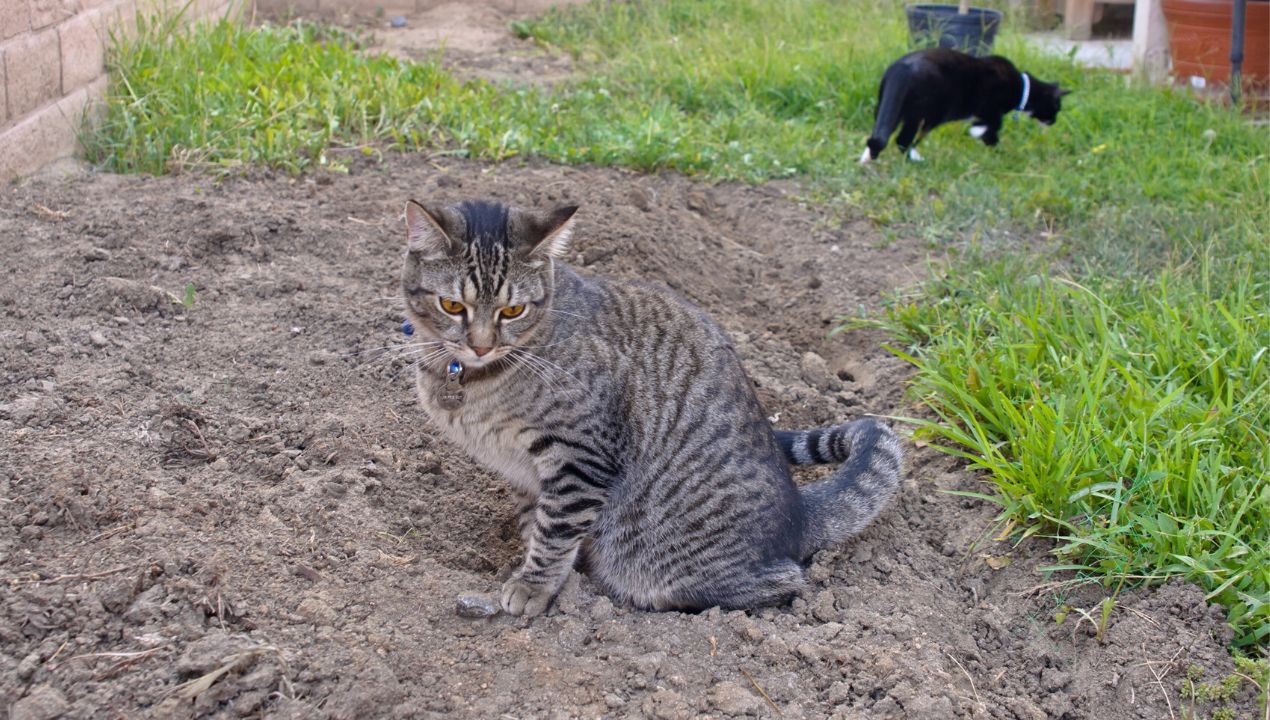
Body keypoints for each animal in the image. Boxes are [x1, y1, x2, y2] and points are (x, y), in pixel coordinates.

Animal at [398, 200, 904, 617]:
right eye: (452, 305)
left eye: (513, 311)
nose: (481, 345)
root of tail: (799, 513)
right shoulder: (525, 473)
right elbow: (535, 523)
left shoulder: (580, 455)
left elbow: (555, 530)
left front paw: (534, 585)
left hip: (667, 557)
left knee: (786, 581)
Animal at [863, 48, 1071, 163]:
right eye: (1057, 108)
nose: (1054, 121)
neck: (1021, 87)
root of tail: (901, 69)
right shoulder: (990, 111)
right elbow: (992, 129)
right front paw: (995, 146)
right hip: (929, 113)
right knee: (903, 139)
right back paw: (916, 159)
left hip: (889, 106)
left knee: (880, 133)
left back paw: (867, 158)